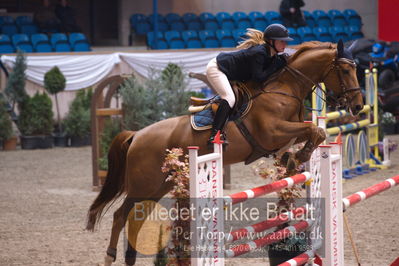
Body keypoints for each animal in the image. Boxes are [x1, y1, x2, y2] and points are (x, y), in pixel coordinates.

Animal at [87, 40, 366, 264]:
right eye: (345, 70)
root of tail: (136, 135)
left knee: (135, 218)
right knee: (121, 215)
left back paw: (129, 257)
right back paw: (111, 256)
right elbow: (315, 131)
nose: (357, 106)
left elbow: (313, 133)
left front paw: (292, 158)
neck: (284, 89)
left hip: (158, 185)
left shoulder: (285, 133)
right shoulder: (272, 132)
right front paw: (299, 157)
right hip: (143, 184)